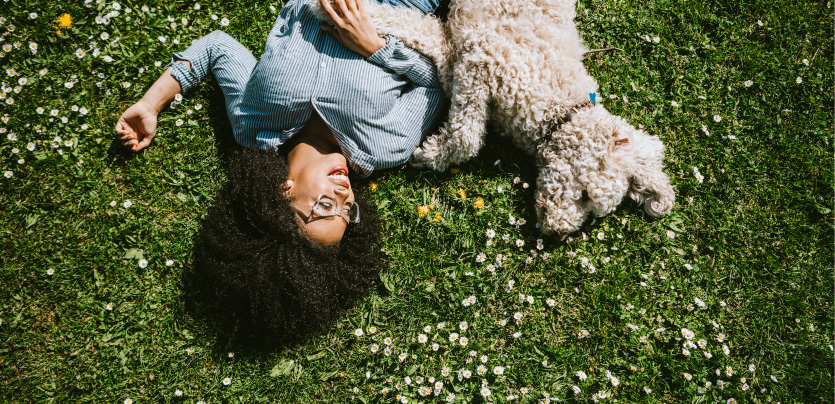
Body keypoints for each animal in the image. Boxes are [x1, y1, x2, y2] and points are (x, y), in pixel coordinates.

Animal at [310, 0, 676, 237]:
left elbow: (428, 37)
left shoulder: (461, 55)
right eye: (585, 194)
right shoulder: (483, 57)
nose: (557, 233)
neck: (559, 105)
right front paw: (433, 154)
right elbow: (467, 137)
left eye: (591, 211)